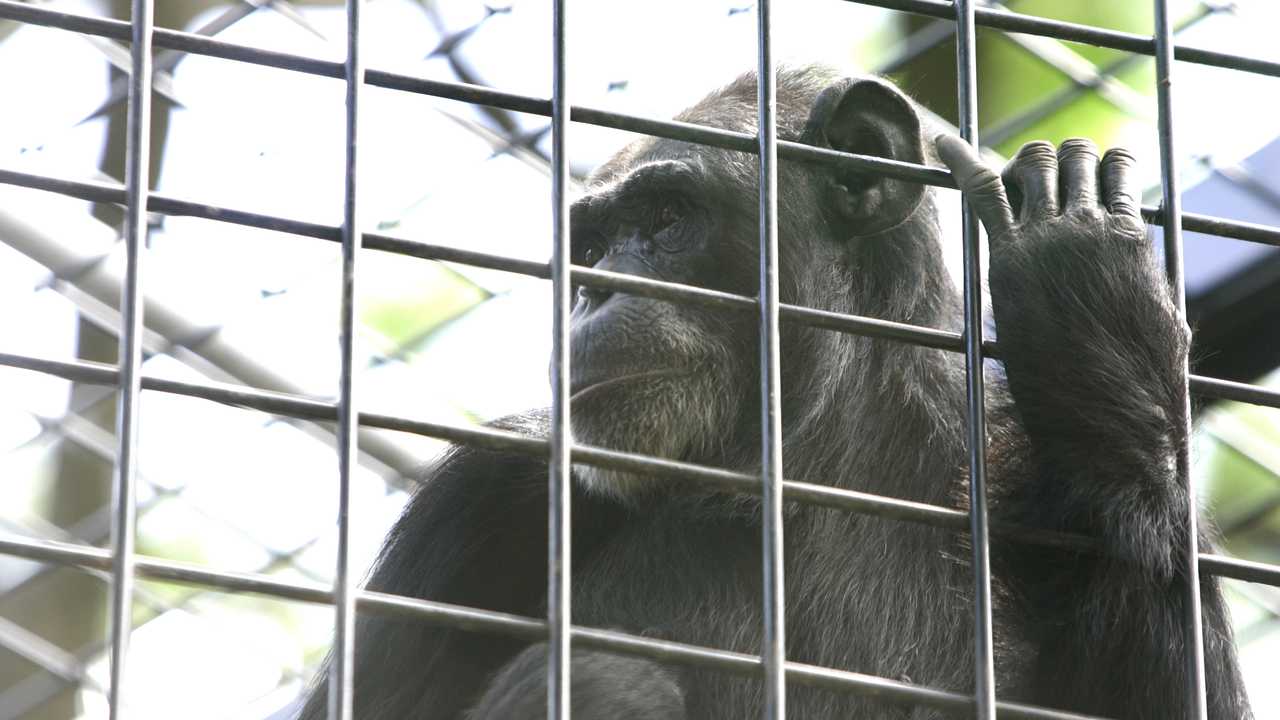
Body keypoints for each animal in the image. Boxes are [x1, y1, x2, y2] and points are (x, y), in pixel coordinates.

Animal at [294, 64, 1244, 712]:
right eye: (590, 248)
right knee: (612, 680)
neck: (810, 465)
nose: (594, 293)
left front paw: (1095, 313)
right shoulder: (483, 493)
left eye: (667, 219)